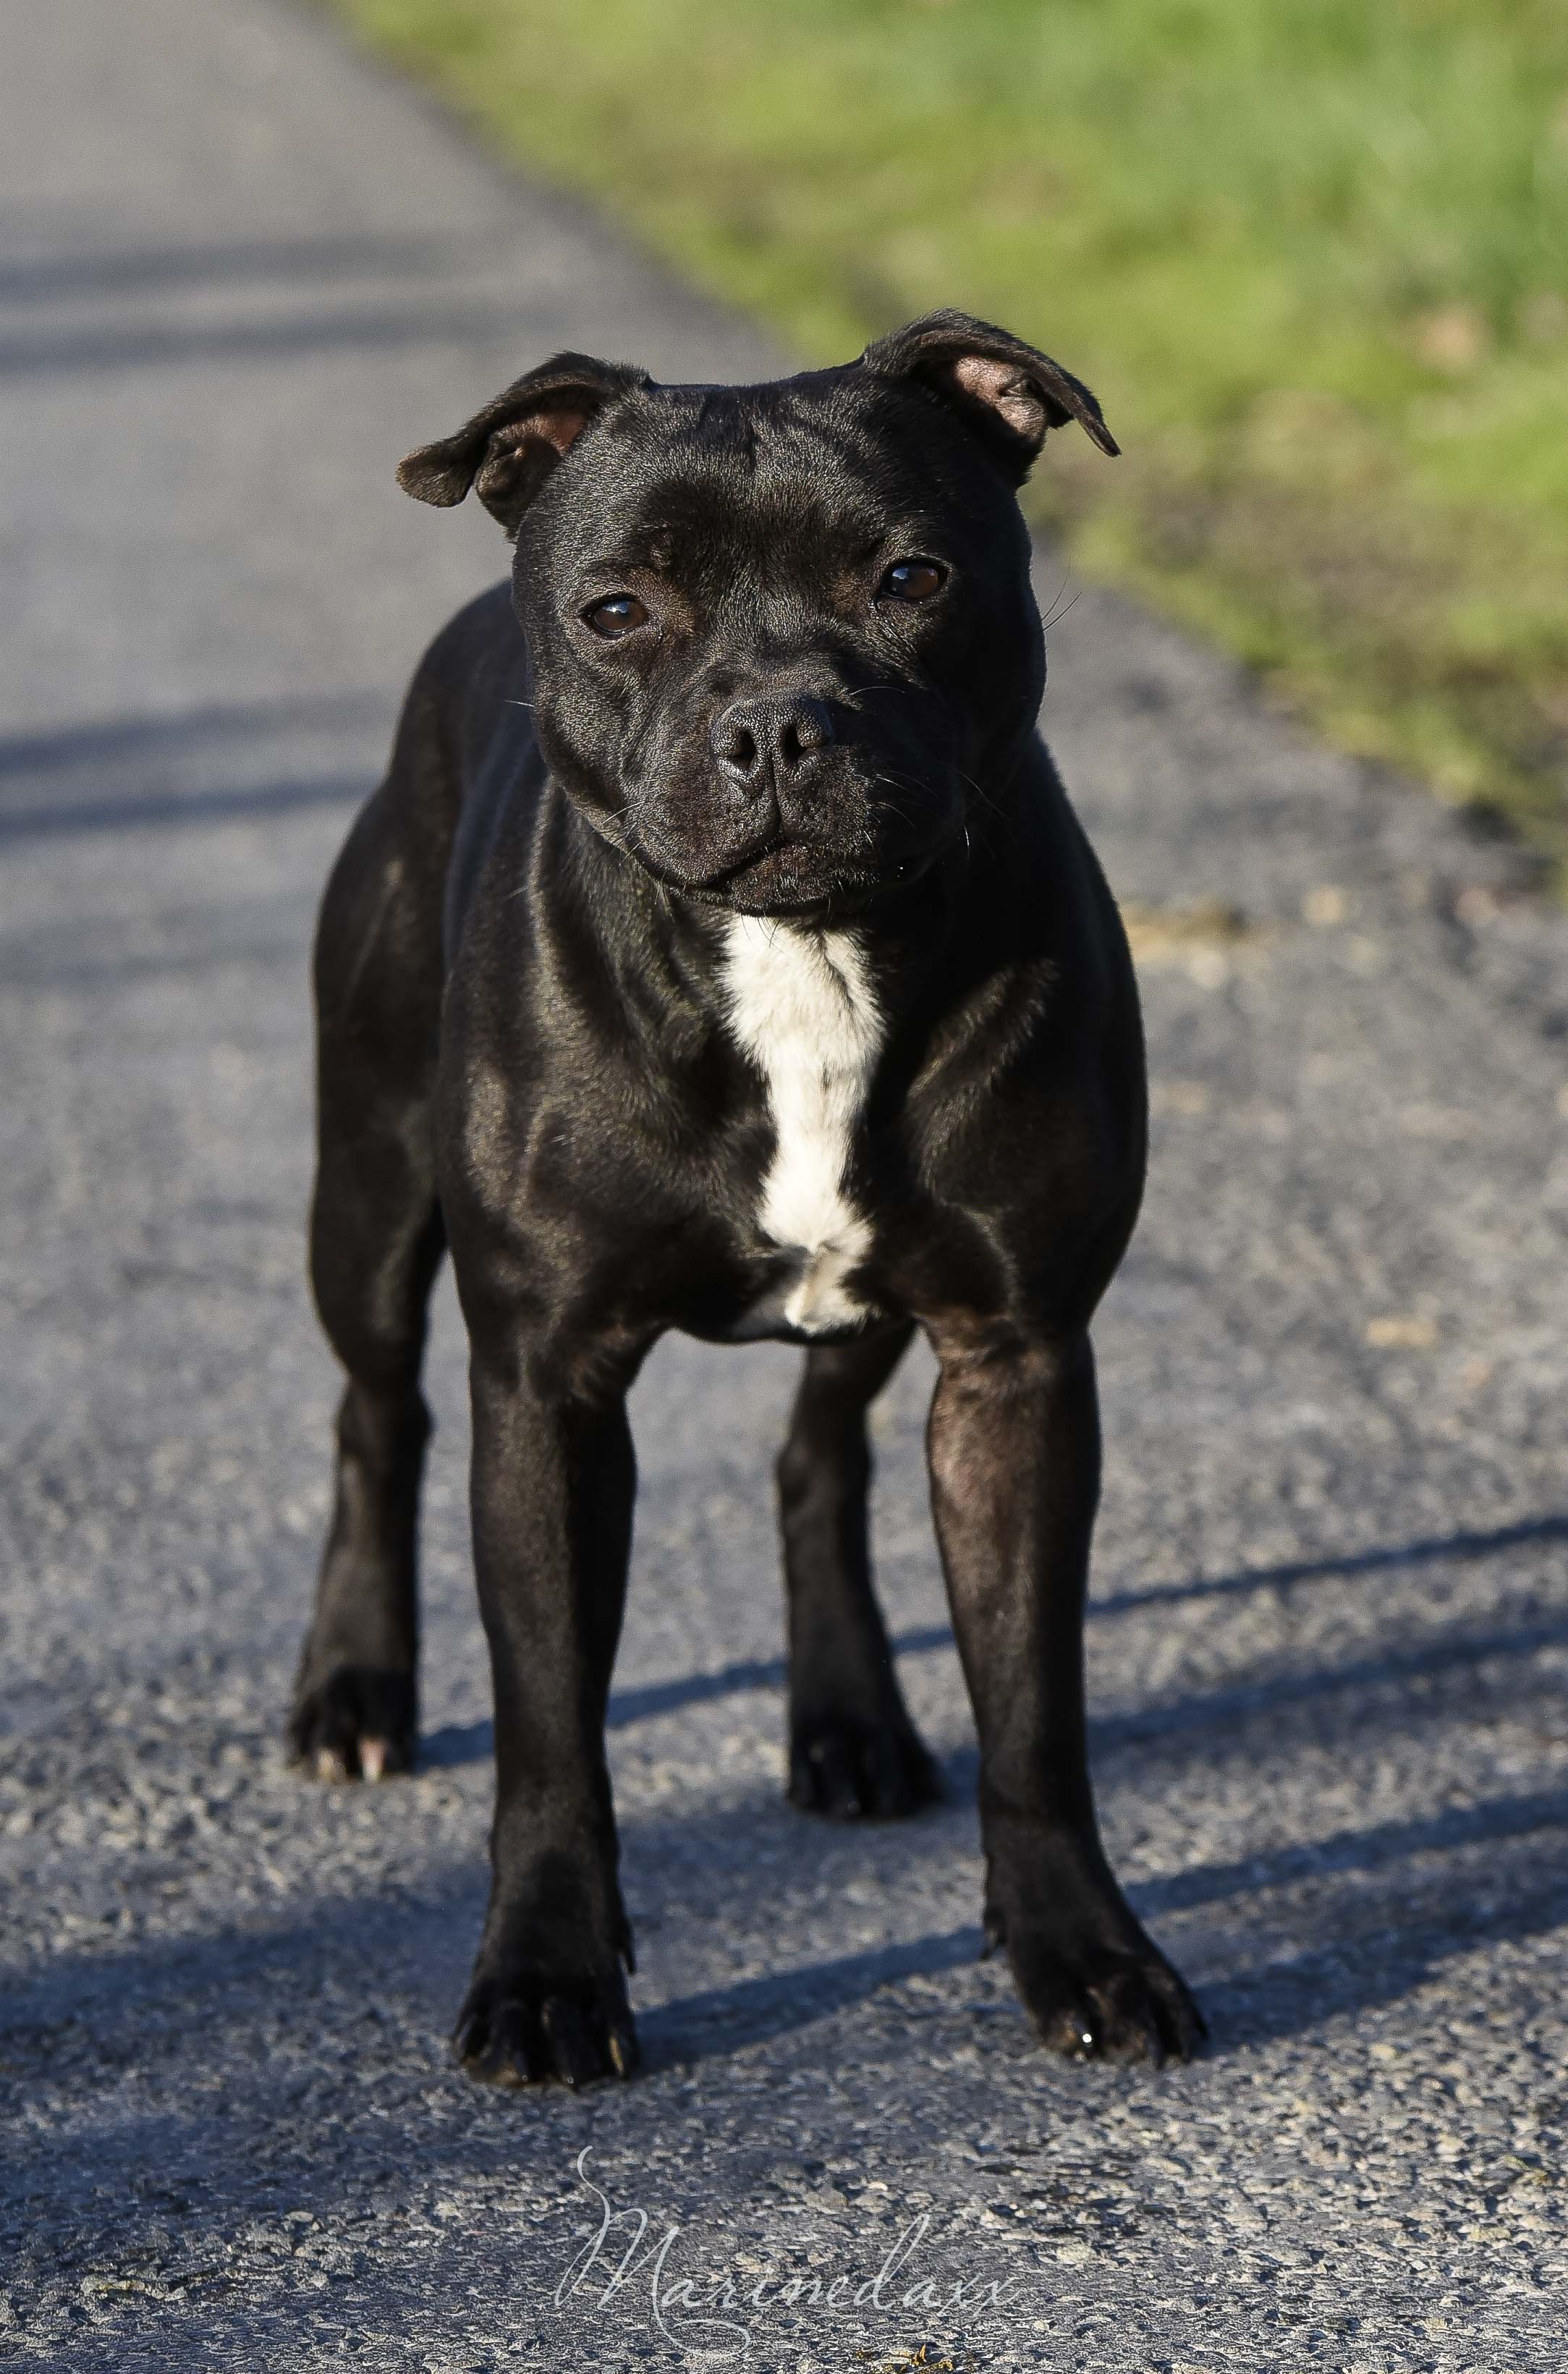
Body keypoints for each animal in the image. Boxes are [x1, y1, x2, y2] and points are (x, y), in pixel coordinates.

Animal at [291, 310, 1202, 2080]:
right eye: (618, 610)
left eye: (911, 577)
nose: (781, 724)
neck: (806, 962)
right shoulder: (548, 1385)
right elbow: (552, 1726)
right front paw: (547, 1974)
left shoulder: (1017, 1358)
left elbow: (1033, 1705)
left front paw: (1082, 1948)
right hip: (363, 1195)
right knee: (378, 1413)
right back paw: (354, 1687)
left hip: (875, 1312)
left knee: (817, 1457)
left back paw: (847, 1717)